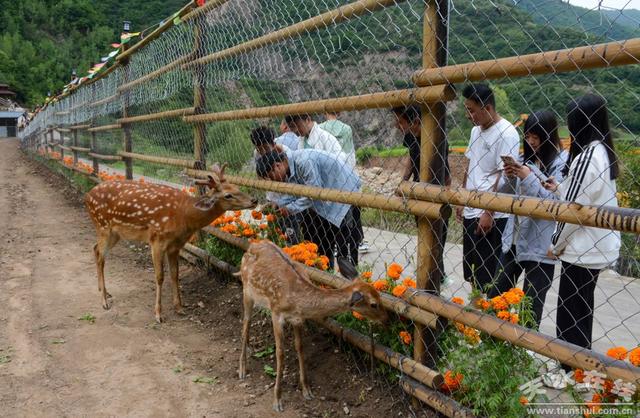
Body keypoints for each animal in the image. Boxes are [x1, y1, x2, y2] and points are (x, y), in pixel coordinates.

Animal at [85, 165, 258, 322]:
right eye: (228, 195)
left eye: (237, 187)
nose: (254, 200)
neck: (184, 215)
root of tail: (87, 196)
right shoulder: (157, 239)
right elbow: (160, 276)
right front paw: (158, 314)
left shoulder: (175, 246)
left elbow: (175, 275)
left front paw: (179, 308)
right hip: (103, 226)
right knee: (100, 256)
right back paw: (104, 301)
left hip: (115, 233)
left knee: (95, 249)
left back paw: (104, 291)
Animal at [238, 238, 388, 412]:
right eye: (374, 304)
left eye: (380, 296)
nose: (387, 319)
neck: (297, 300)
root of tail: (252, 244)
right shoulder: (276, 312)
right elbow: (280, 353)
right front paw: (277, 400)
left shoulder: (297, 319)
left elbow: (300, 348)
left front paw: (307, 390)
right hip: (246, 290)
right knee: (245, 322)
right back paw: (242, 369)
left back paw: (249, 350)